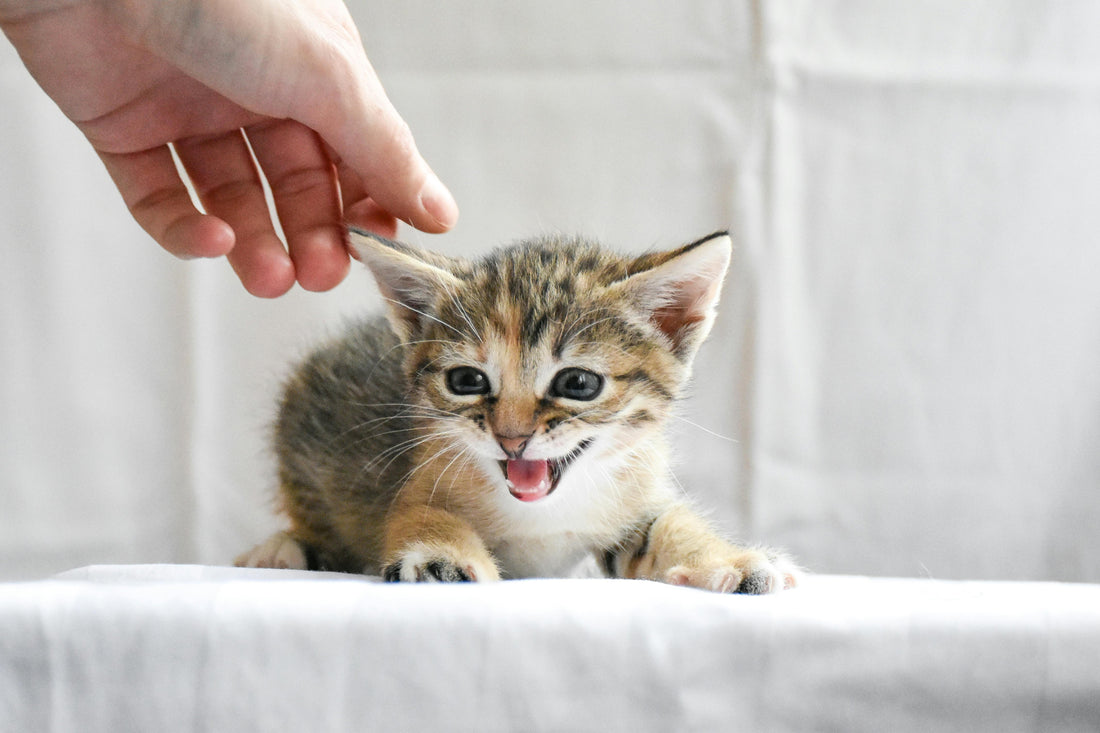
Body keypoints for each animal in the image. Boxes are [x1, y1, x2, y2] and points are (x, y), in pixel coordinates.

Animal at [236, 230, 800, 594]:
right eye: (467, 381)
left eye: (578, 383)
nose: (512, 438)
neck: (546, 514)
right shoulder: (422, 474)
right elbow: (419, 512)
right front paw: (441, 555)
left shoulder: (636, 497)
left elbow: (668, 523)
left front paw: (729, 560)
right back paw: (281, 550)